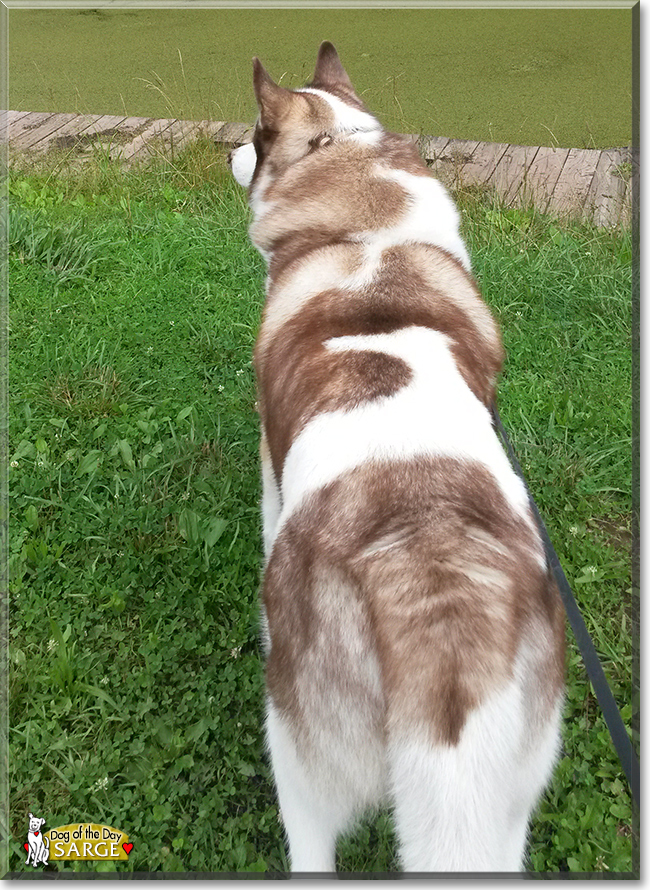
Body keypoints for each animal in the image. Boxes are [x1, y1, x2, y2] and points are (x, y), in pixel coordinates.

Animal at [228, 43, 560, 876]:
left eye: (254, 131)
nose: (227, 151)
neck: (363, 234)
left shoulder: (268, 455)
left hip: (299, 752)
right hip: (512, 796)